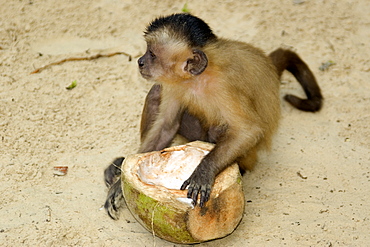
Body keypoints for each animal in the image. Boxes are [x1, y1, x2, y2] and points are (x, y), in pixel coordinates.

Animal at [102, 13, 322, 220]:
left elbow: (248, 131)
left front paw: (204, 171)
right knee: (156, 92)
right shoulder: (174, 83)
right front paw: (121, 183)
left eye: (152, 54)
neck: (197, 79)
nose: (140, 61)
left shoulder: (224, 86)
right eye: (147, 51)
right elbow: (166, 126)